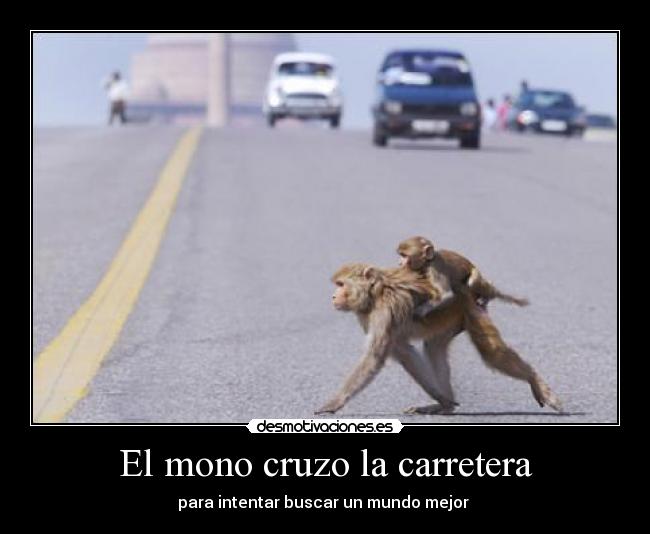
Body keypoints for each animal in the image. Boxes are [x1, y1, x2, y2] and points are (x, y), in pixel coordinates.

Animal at [316, 262, 562, 415]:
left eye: (341, 284)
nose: (333, 296)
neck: (376, 293)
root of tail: (469, 288)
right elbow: (403, 351)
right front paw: (441, 399)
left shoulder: (384, 312)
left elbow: (374, 357)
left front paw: (334, 403)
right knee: (434, 348)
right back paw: (445, 406)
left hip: (467, 308)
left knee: (491, 352)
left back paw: (533, 379)